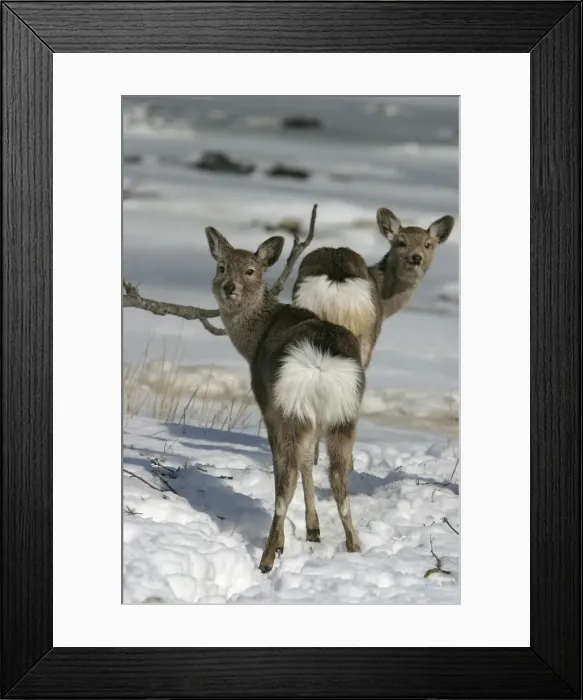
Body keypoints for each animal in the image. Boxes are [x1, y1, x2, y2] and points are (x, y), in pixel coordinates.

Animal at [205, 226, 365, 573]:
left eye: (250, 270)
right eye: (221, 266)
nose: (228, 287)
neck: (254, 340)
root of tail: (320, 361)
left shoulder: (268, 405)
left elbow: (289, 469)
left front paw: (289, 540)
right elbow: (309, 464)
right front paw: (314, 529)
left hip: (291, 406)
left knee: (285, 482)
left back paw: (267, 557)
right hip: (345, 413)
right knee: (339, 481)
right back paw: (355, 547)